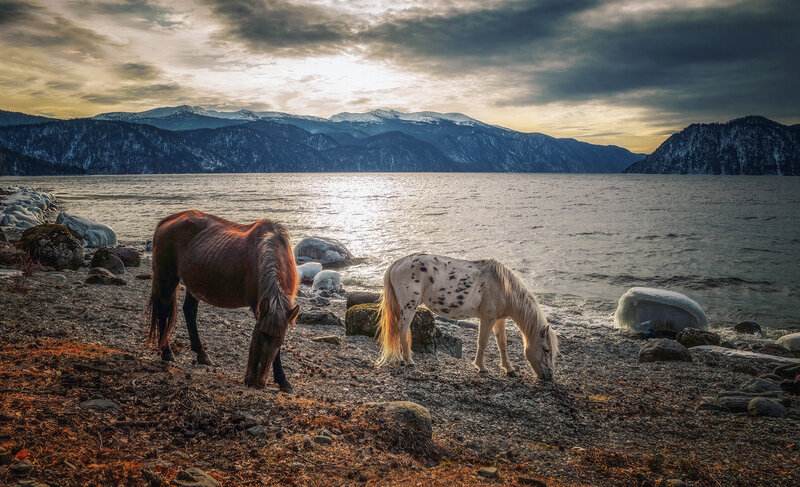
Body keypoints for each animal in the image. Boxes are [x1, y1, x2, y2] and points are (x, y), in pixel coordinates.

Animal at [146, 210, 299, 390]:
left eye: (279, 341)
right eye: (255, 336)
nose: (254, 382)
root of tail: (165, 222)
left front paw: (283, 381)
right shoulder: (259, 308)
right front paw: (282, 380)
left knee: (189, 311)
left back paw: (201, 354)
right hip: (167, 279)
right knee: (163, 311)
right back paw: (166, 352)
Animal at [377, 253, 558, 380]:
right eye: (546, 350)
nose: (549, 376)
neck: (502, 286)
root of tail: (397, 263)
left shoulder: (500, 319)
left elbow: (502, 344)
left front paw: (509, 369)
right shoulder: (488, 318)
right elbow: (482, 342)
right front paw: (481, 367)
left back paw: (401, 358)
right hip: (409, 306)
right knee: (402, 329)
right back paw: (408, 360)